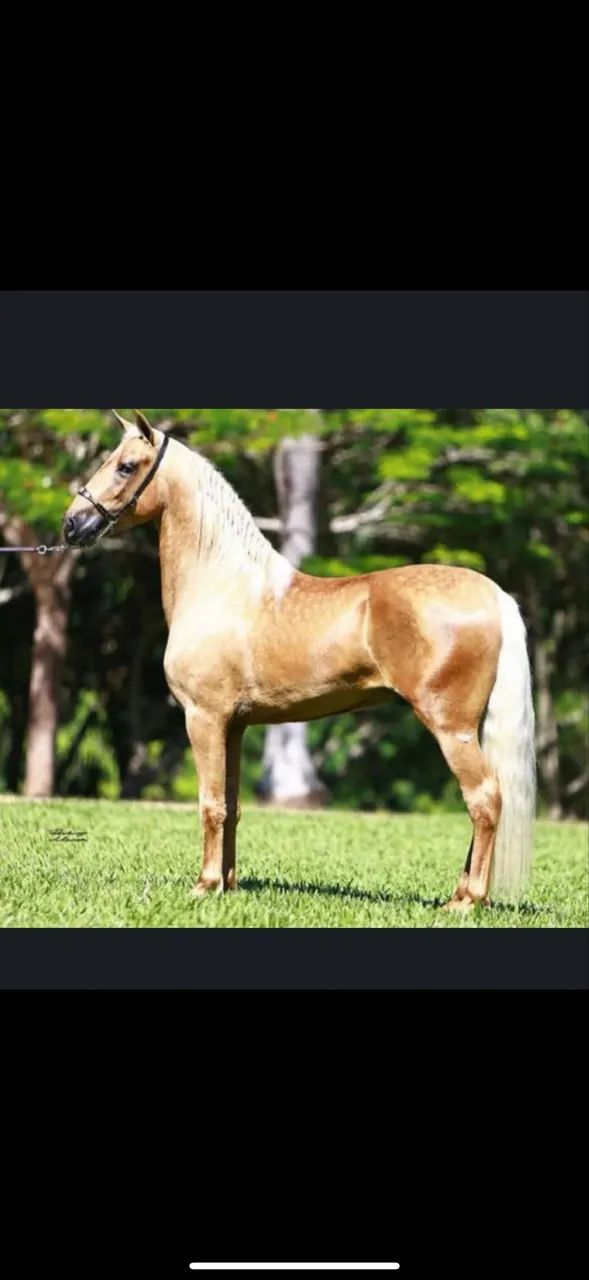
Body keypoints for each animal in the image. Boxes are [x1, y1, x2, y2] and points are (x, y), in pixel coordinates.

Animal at [63, 411, 536, 910]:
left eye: (126, 466)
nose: (71, 524)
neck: (223, 587)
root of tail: (493, 592)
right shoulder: (235, 725)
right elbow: (231, 806)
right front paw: (229, 883)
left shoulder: (204, 718)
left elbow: (210, 803)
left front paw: (205, 886)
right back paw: (461, 893)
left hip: (451, 727)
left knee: (484, 798)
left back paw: (467, 901)